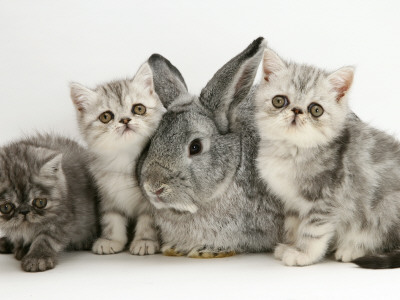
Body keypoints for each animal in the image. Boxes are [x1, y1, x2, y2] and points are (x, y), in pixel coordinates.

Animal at [0, 134, 98, 272]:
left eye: (40, 202)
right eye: (6, 207)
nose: (24, 211)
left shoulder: (62, 217)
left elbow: (47, 238)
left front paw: (37, 257)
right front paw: (21, 247)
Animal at [70, 61, 166, 255]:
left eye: (139, 109)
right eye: (106, 116)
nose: (125, 120)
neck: (124, 158)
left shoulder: (152, 197)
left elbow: (148, 220)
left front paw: (145, 241)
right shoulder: (107, 193)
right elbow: (112, 217)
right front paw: (110, 240)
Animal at [255, 48, 400, 268]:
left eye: (316, 109)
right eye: (279, 101)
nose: (296, 110)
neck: (293, 152)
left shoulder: (326, 198)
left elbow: (313, 230)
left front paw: (303, 254)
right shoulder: (292, 201)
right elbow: (294, 226)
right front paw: (291, 245)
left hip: (386, 207)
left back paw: (352, 249)